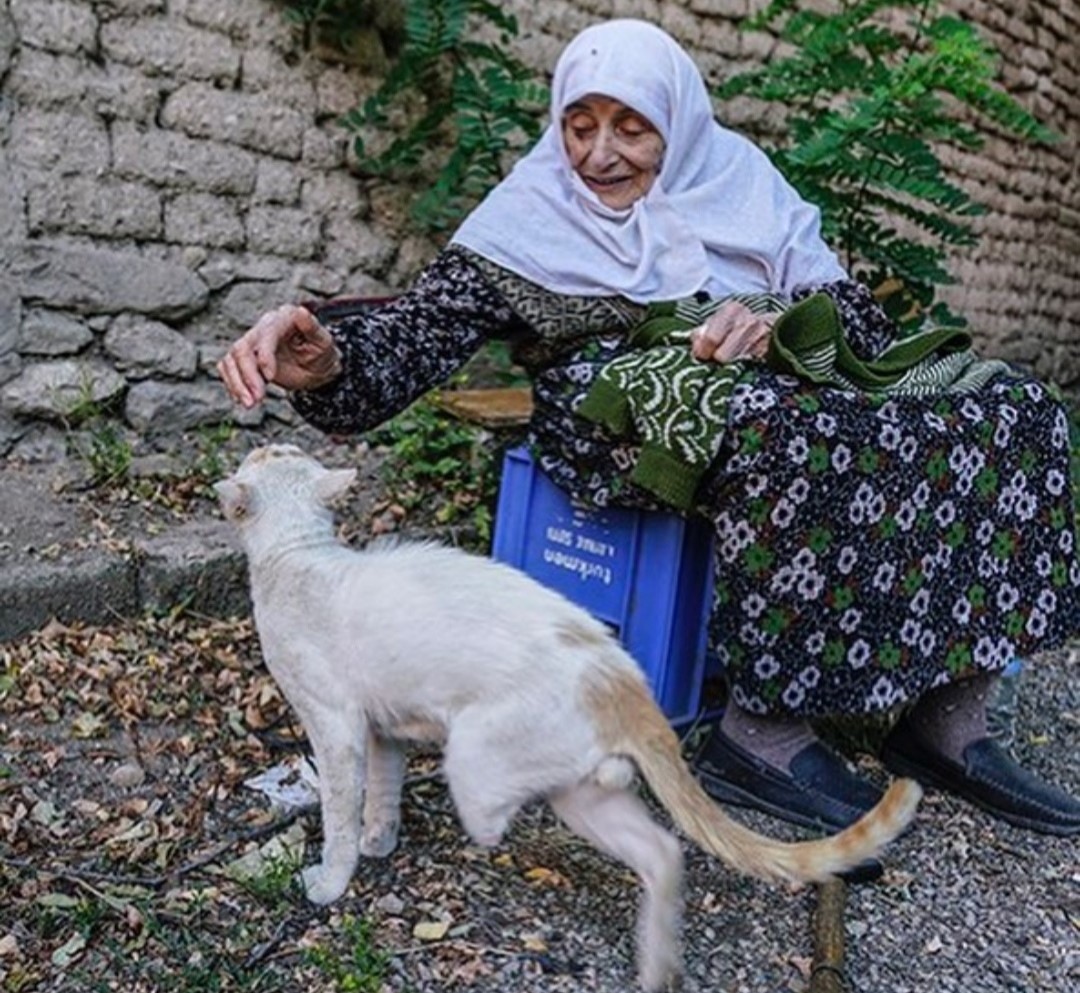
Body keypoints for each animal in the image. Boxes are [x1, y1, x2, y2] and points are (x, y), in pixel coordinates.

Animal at [217, 447, 920, 989]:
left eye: (265, 453)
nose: (258, 446)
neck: (297, 556)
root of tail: (623, 675)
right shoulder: (380, 729)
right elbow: (383, 797)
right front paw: (379, 842)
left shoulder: (337, 731)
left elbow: (339, 815)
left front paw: (331, 882)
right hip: (580, 797)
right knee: (664, 850)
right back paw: (657, 964)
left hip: (477, 759)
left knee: (501, 811)